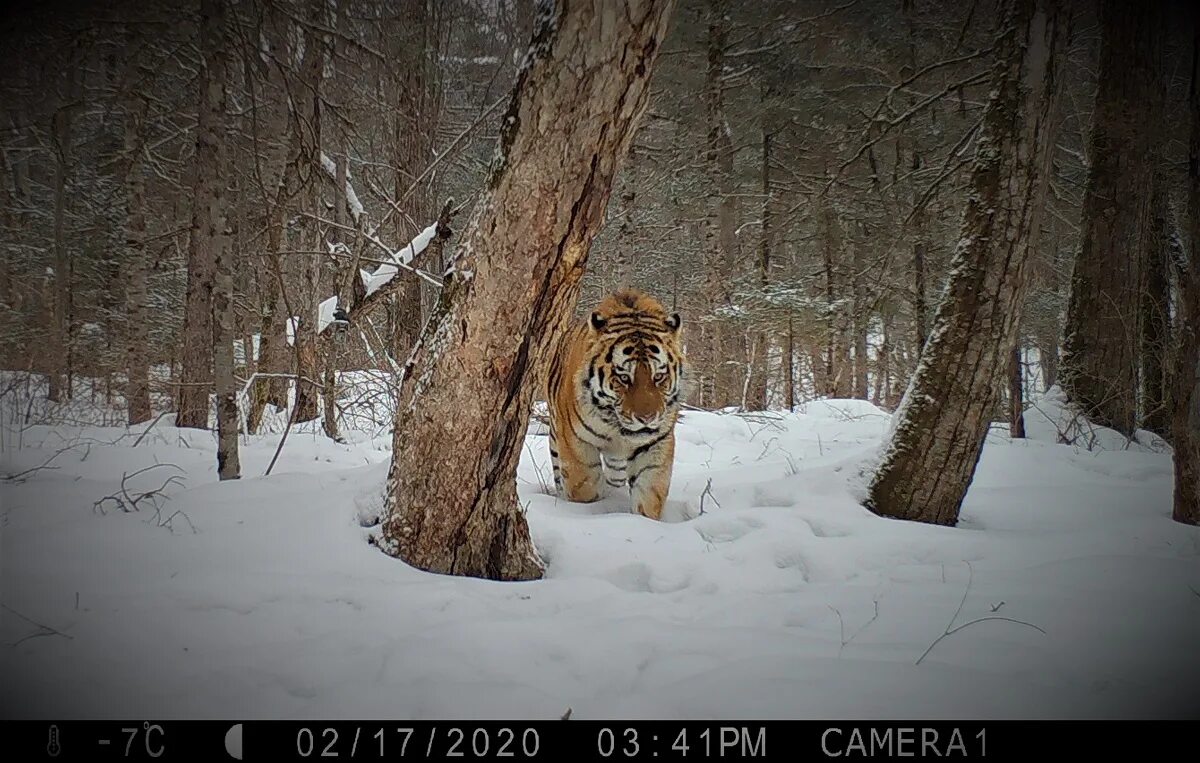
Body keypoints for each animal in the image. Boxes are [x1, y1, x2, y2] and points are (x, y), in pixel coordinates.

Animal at [545, 288, 685, 520]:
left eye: (659, 376)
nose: (646, 418)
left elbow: (649, 495)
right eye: (624, 378)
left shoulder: (657, 444)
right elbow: (585, 487)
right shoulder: (575, 442)